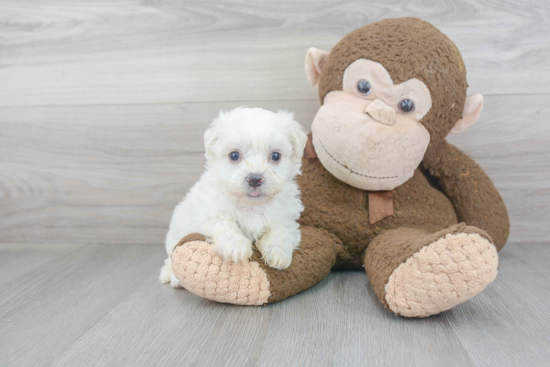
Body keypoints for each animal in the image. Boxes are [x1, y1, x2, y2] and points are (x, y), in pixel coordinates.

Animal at [160, 108, 308, 288]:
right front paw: (235, 246)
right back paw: (171, 276)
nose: (254, 179)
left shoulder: (287, 219)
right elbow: (224, 223)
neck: (252, 206)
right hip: (175, 234)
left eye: (275, 156)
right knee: (169, 258)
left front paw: (277, 251)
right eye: (234, 155)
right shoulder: (209, 214)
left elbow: (281, 230)